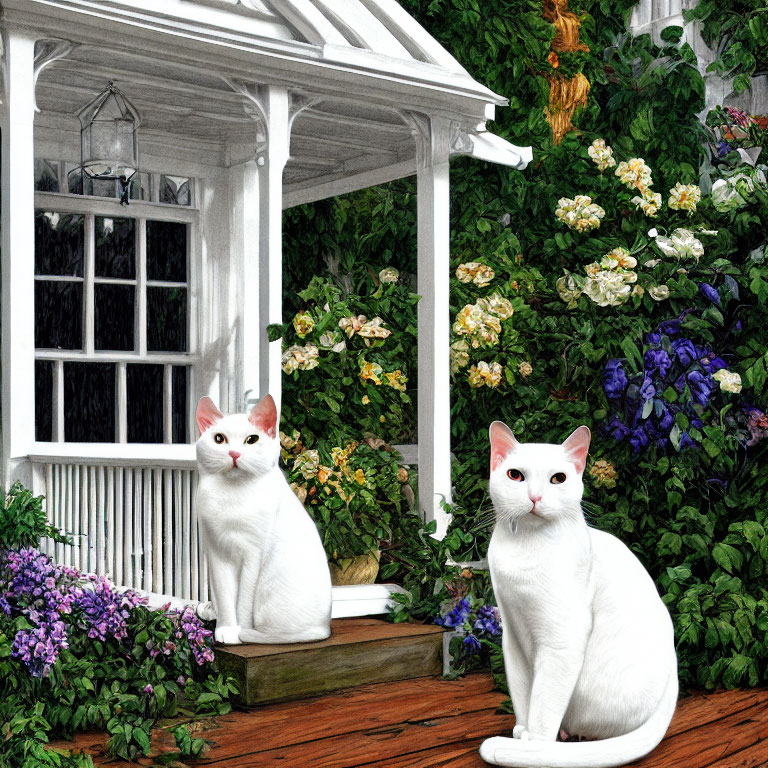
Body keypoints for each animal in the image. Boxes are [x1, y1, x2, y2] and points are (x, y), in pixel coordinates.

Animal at [195, 396, 330, 640]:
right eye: (219, 439)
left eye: (252, 439)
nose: (234, 453)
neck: (232, 497)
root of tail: (323, 628)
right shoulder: (217, 552)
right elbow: (225, 595)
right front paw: (225, 628)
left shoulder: (253, 554)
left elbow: (243, 602)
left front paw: (239, 631)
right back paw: (209, 610)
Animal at [480, 424, 680, 768]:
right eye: (515, 475)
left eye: (557, 478)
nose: (535, 496)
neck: (525, 550)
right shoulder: (513, 637)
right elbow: (523, 693)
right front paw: (522, 730)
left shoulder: (561, 643)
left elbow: (544, 705)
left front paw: (536, 745)